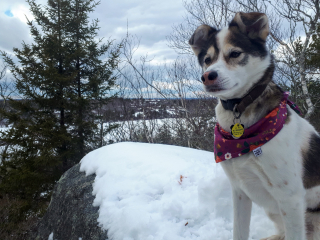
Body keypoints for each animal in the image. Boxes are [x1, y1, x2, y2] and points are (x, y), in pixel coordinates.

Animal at [189, 12, 320, 240]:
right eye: (207, 60)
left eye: (235, 53)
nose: (207, 76)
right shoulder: (239, 190)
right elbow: (239, 231)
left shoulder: (291, 198)